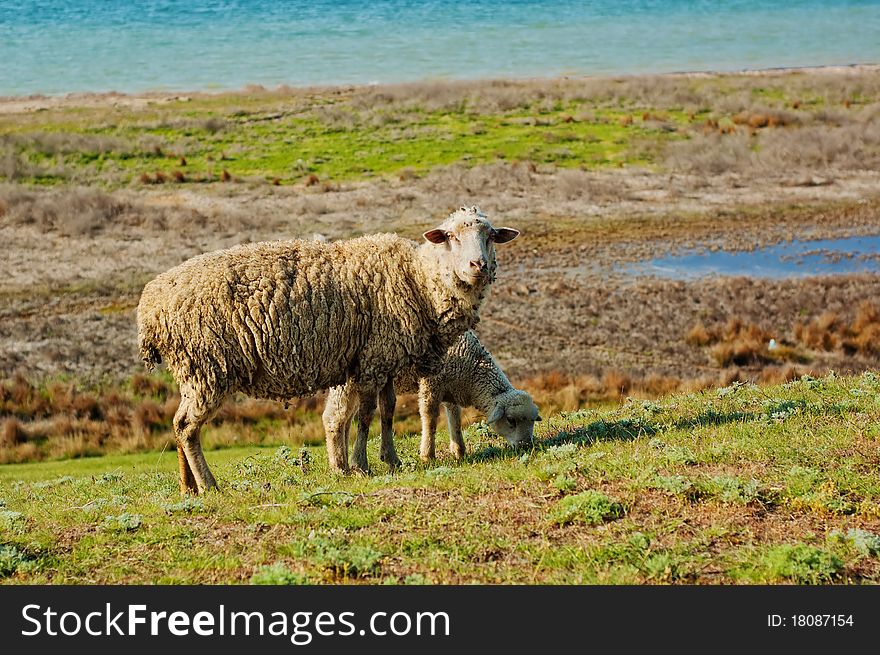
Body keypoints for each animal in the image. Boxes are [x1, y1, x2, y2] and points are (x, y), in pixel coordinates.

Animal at [324, 328, 540, 472]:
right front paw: (428, 455)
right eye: (511, 420)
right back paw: (339, 466)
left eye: (532, 421)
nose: (526, 446)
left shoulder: (450, 388)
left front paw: (459, 451)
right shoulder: (432, 382)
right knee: (333, 418)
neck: (473, 367)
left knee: (345, 419)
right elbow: (430, 418)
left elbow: (455, 419)